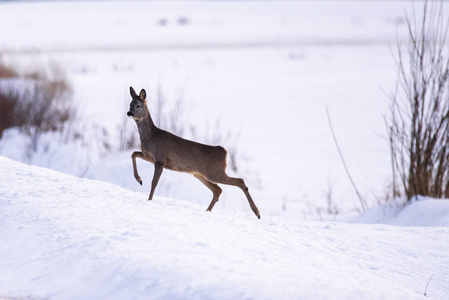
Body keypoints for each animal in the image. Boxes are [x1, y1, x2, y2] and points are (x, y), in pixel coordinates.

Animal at [126, 86, 260, 218]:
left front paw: (149, 200)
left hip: (214, 172)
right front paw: (139, 179)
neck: (151, 136)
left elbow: (154, 183)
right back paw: (207, 211)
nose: (129, 113)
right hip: (199, 174)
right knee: (218, 190)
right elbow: (133, 154)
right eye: (130, 104)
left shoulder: (160, 159)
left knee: (239, 181)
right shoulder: (149, 156)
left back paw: (257, 213)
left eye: (138, 105)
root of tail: (225, 153)